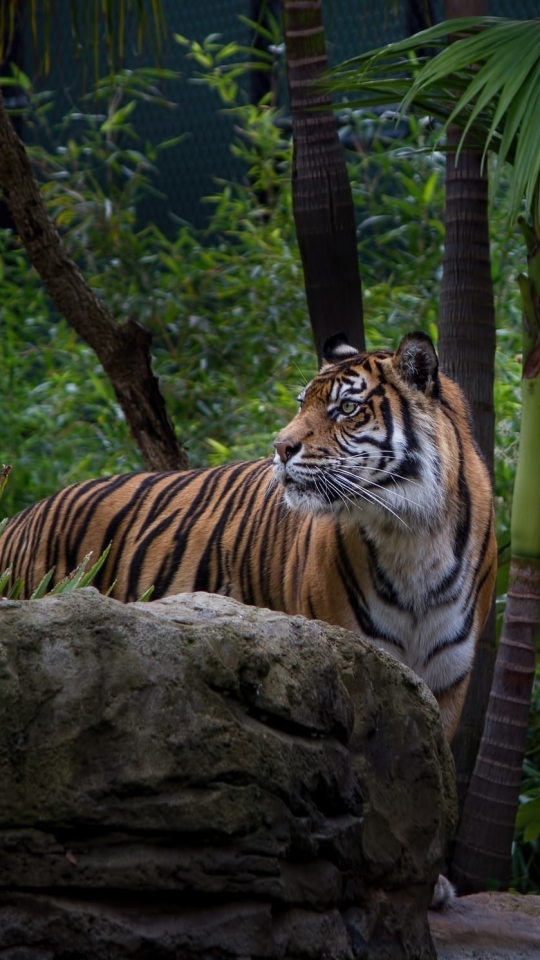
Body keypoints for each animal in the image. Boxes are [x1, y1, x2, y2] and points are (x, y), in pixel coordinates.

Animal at [0, 334, 496, 748]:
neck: (412, 534)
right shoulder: (355, 658)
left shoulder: (446, 683)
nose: (280, 447)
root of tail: (20, 517)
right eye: (302, 403)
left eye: (346, 408)